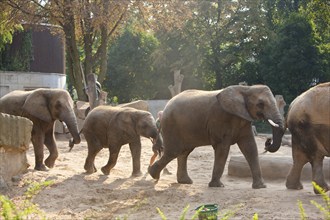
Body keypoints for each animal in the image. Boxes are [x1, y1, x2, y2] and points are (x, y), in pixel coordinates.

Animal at [148, 85, 284, 188]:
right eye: (260, 104)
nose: (268, 141)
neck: (246, 89)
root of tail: (166, 105)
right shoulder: (220, 119)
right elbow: (223, 148)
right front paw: (217, 186)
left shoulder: (244, 120)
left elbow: (250, 147)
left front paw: (261, 186)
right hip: (171, 125)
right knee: (174, 151)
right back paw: (153, 174)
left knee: (184, 152)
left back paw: (184, 181)